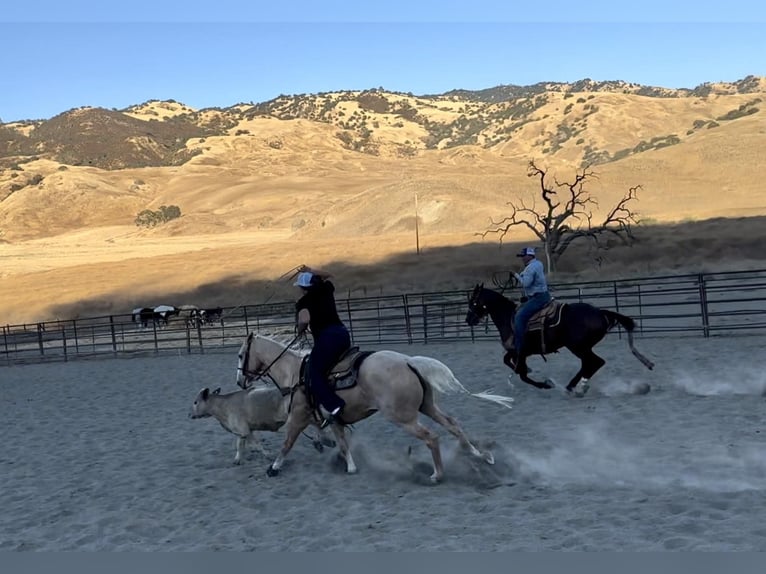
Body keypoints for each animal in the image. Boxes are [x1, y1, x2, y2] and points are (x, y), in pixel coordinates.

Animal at [238, 332, 516, 486]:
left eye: (241, 355)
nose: (240, 381)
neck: (297, 373)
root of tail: (408, 361)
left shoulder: (298, 417)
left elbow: (287, 443)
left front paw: (274, 468)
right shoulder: (333, 419)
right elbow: (341, 442)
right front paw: (349, 465)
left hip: (402, 417)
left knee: (432, 437)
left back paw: (437, 475)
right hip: (427, 406)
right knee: (453, 424)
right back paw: (480, 455)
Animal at [464, 284, 656, 400]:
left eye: (473, 302)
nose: (468, 320)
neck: (508, 318)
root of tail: (599, 312)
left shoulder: (521, 351)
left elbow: (522, 374)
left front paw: (545, 384)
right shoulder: (518, 352)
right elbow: (509, 362)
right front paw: (530, 371)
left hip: (578, 347)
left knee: (594, 362)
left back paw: (573, 387)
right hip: (582, 347)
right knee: (591, 364)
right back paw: (576, 387)